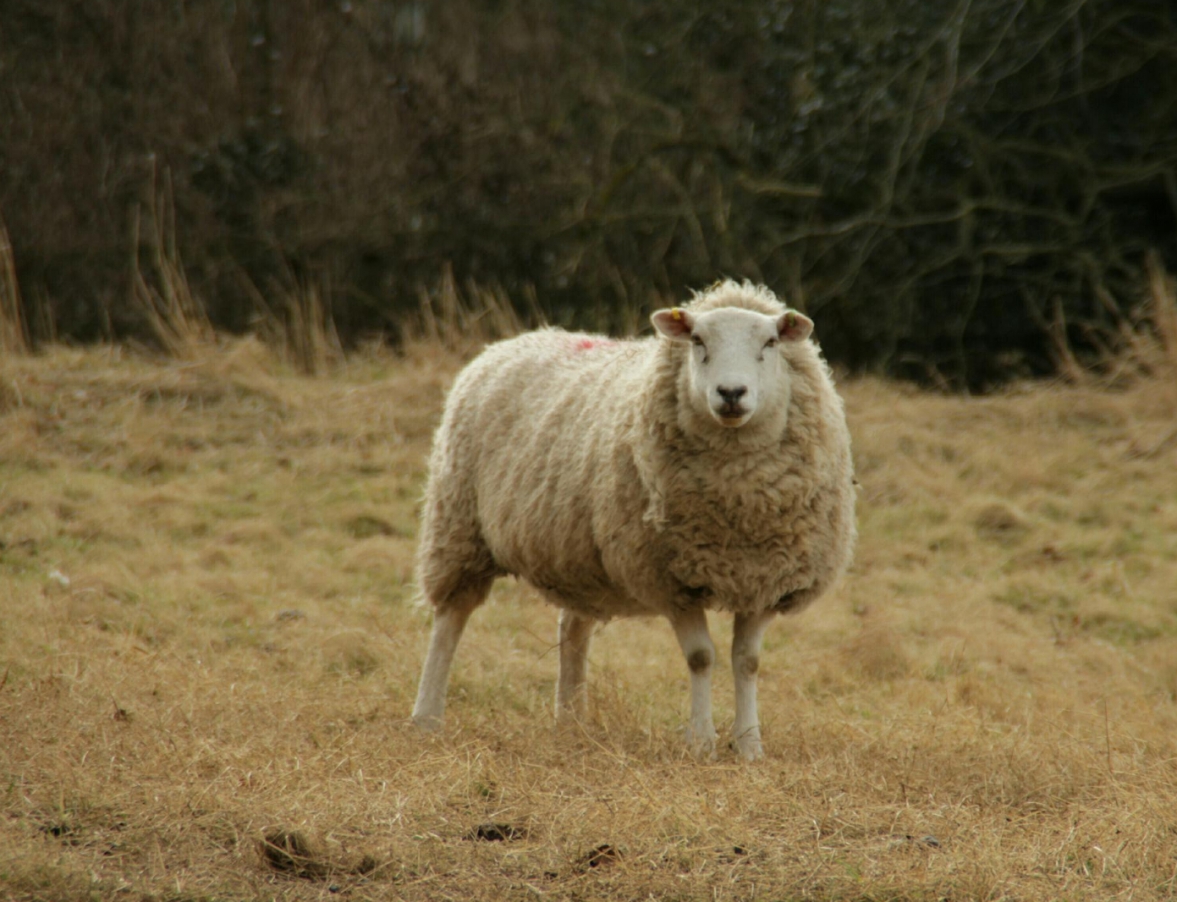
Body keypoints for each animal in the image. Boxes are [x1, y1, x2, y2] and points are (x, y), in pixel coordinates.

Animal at [411, 282, 856, 763]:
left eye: (771, 343)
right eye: (697, 340)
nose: (731, 393)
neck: (737, 503)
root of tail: (513, 341)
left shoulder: (765, 577)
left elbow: (747, 662)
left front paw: (750, 746)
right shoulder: (670, 577)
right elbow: (701, 657)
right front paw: (702, 742)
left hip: (577, 558)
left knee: (572, 629)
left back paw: (571, 722)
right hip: (458, 525)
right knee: (450, 620)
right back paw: (427, 717)